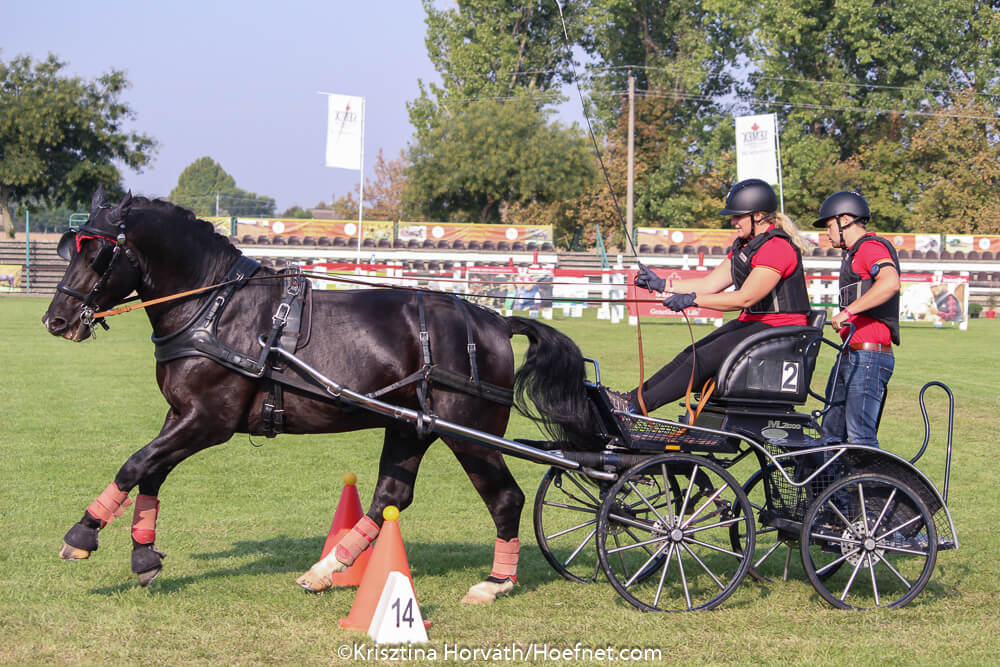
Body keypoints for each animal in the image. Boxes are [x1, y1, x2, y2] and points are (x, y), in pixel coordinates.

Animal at [42, 186, 601, 601]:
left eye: (99, 251)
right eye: (70, 247)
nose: (57, 320)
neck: (215, 307)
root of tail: (495, 321)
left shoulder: (209, 421)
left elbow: (135, 464)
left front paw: (82, 535)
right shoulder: (180, 414)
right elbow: (152, 470)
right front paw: (143, 556)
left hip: (470, 433)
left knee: (505, 498)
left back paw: (495, 582)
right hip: (411, 427)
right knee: (391, 496)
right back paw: (329, 568)